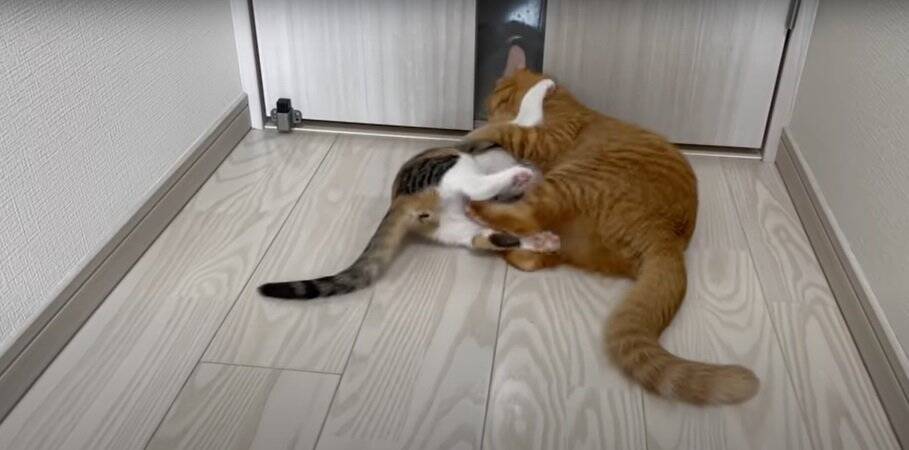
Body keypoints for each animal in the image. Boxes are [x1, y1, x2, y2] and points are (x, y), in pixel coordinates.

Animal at [257, 81, 559, 300]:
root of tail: (400, 198)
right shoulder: (507, 128)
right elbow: (529, 112)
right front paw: (545, 85)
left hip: (451, 226)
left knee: (482, 238)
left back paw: (541, 240)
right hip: (454, 164)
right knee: (476, 187)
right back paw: (517, 178)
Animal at [464, 67, 760, 405]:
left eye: (494, 98)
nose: (486, 111)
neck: (565, 103)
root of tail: (666, 235)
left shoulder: (541, 137)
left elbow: (509, 129)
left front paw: (478, 132)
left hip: (564, 184)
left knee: (525, 221)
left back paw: (478, 208)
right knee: (532, 254)